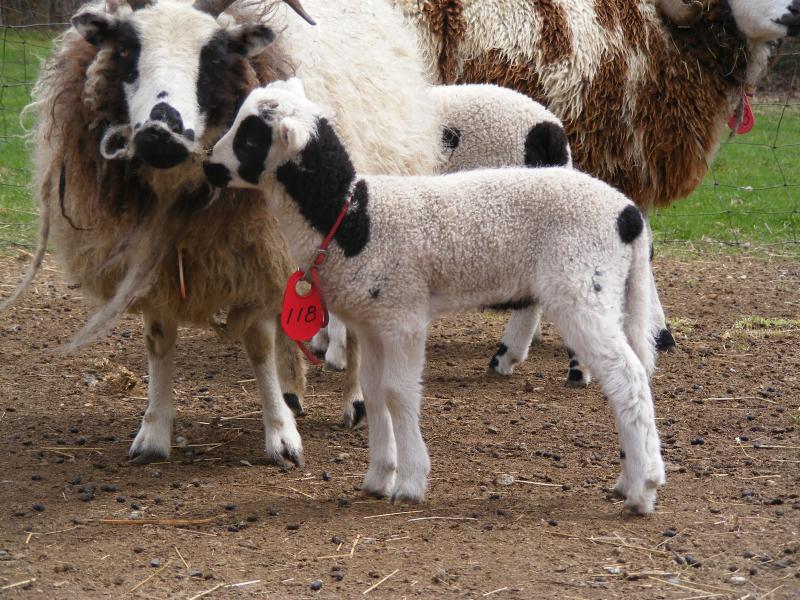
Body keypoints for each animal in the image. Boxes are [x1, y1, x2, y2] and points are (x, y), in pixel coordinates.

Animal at [4, 0, 445, 466]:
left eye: (213, 55)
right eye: (125, 49)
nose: (160, 133)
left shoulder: (255, 255)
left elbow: (259, 346)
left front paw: (281, 436)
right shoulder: (162, 265)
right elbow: (159, 342)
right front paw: (153, 432)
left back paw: (355, 401)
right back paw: (293, 392)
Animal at [204, 78, 667, 513]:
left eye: (250, 138)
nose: (209, 165)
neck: (352, 217)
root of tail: (627, 216)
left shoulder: (403, 316)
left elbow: (399, 393)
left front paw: (410, 483)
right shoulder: (372, 323)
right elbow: (373, 391)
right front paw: (378, 477)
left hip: (582, 287)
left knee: (627, 378)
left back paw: (643, 491)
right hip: (612, 291)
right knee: (634, 375)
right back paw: (629, 479)